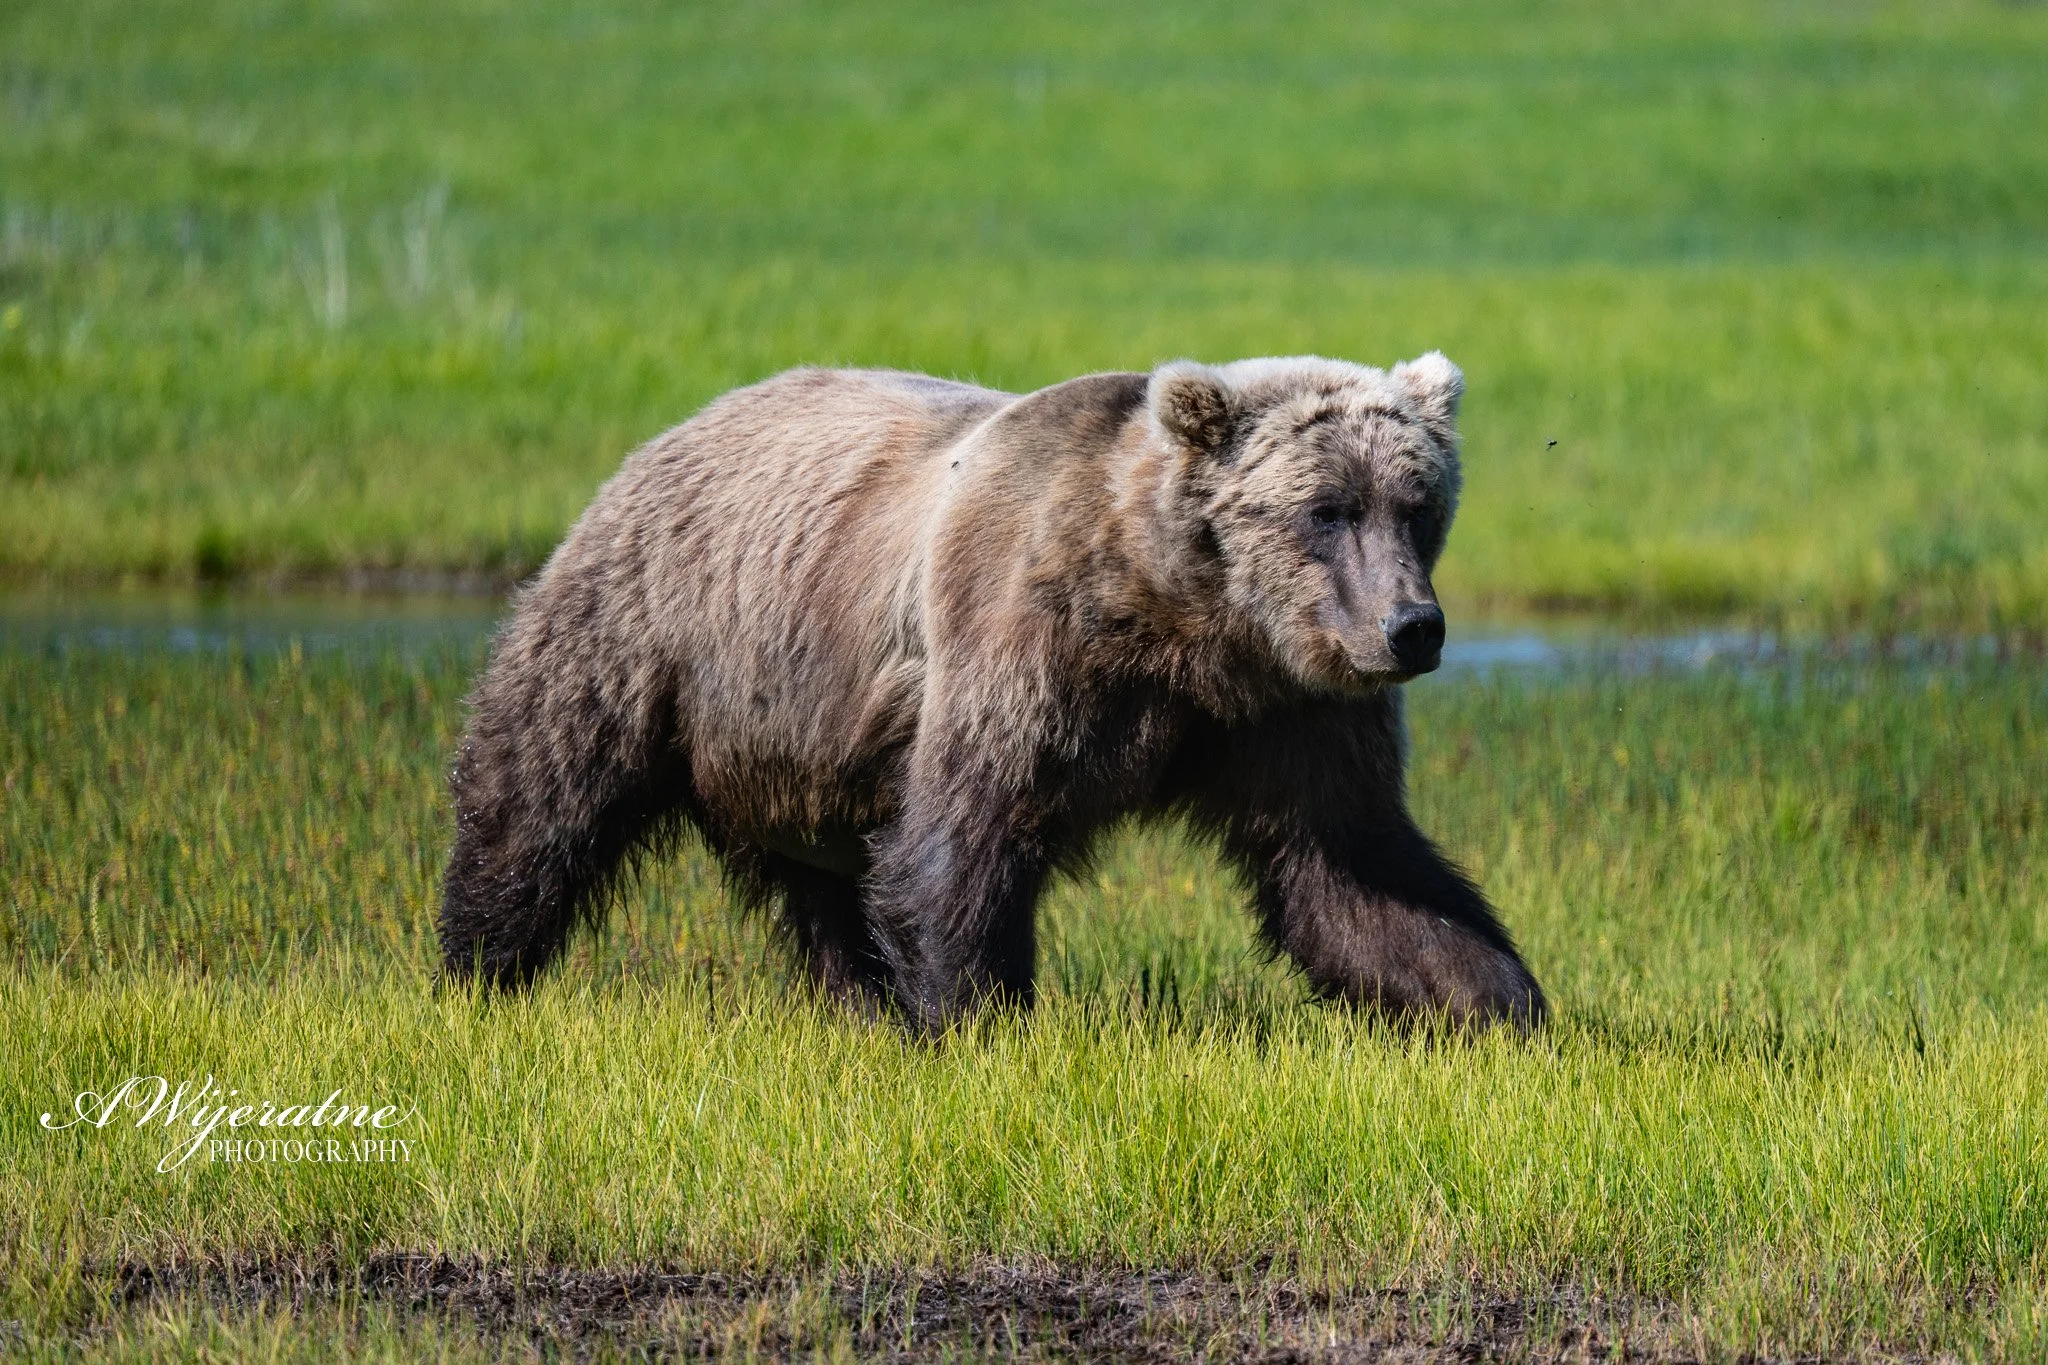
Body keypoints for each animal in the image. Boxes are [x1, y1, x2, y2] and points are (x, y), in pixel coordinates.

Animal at [439, 353, 1545, 1030]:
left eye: (1418, 503)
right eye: (1327, 508)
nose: (1412, 627)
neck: (1182, 623)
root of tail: (676, 429)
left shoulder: (1288, 710)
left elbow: (1353, 867)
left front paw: (1498, 1003)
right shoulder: (1026, 646)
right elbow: (966, 837)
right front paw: (977, 1019)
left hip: (801, 739)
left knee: (823, 881)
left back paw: (856, 999)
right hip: (656, 634)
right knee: (541, 792)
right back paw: (478, 966)